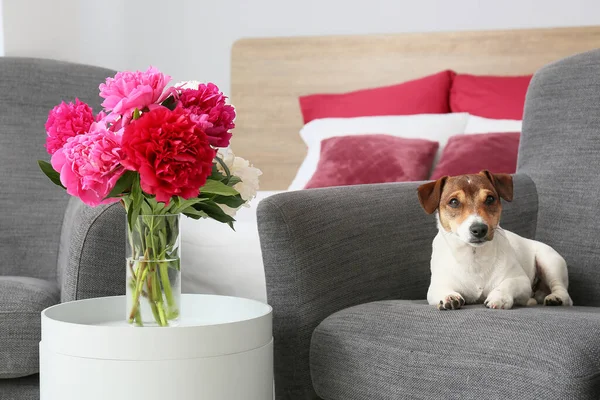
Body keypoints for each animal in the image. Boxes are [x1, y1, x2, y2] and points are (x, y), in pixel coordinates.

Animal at [418, 170, 572, 310]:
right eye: (454, 202)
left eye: (490, 199)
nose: (479, 229)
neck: (475, 256)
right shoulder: (436, 286)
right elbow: (441, 289)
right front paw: (449, 297)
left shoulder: (521, 281)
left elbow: (508, 284)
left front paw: (500, 297)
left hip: (550, 262)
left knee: (564, 292)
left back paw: (556, 298)